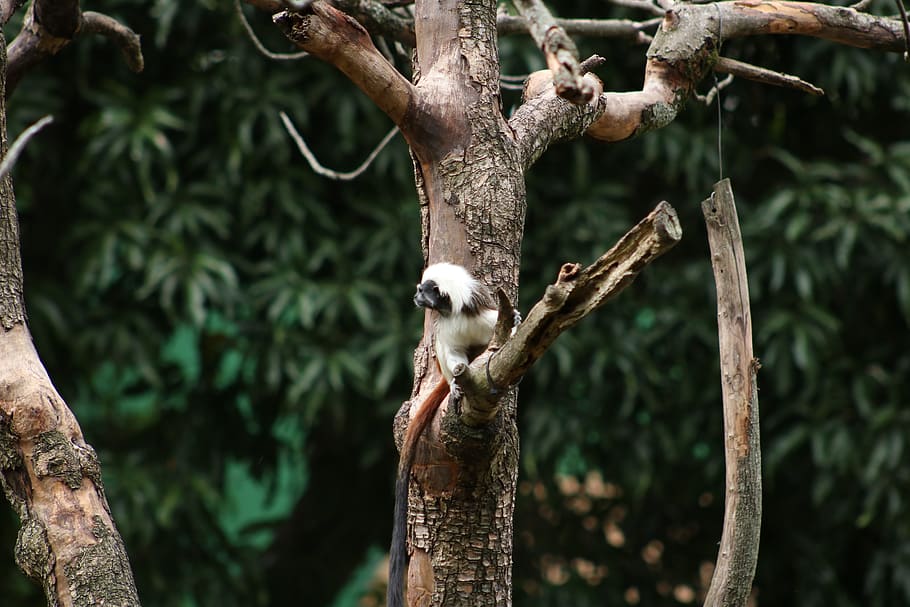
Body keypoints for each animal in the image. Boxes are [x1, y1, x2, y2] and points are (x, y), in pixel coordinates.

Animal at [387, 262, 500, 607]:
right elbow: (452, 354)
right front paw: (456, 388)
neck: (455, 310)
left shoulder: (483, 313)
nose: (415, 297)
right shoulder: (448, 330)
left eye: (424, 291)